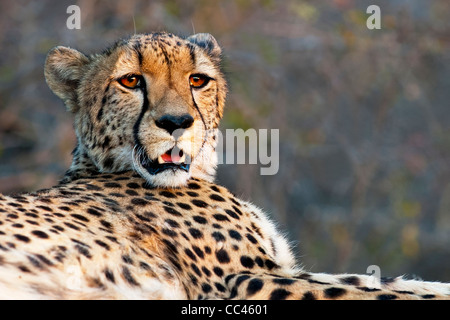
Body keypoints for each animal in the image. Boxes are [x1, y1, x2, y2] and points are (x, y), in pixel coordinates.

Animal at [0, 31, 448, 298]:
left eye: (197, 80)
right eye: (131, 81)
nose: (176, 122)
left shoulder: (277, 266)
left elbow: (394, 282)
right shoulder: (241, 279)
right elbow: (384, 291)